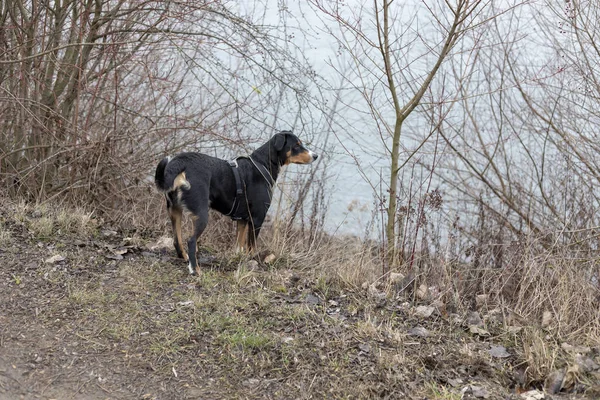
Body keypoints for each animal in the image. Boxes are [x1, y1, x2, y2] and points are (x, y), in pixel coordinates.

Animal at [154, 131, 318, 276]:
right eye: (296, 145)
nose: (315, 156)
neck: (263, 164)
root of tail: (180, 163)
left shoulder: (242, 219)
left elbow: (239, 245)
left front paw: (239, 259)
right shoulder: (257, 218)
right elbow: (252, 246)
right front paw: (254, 261)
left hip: (174, 210)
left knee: (177, 240)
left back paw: (184, 258)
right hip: (201, 213)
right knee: (191, 241)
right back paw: (195, 269)